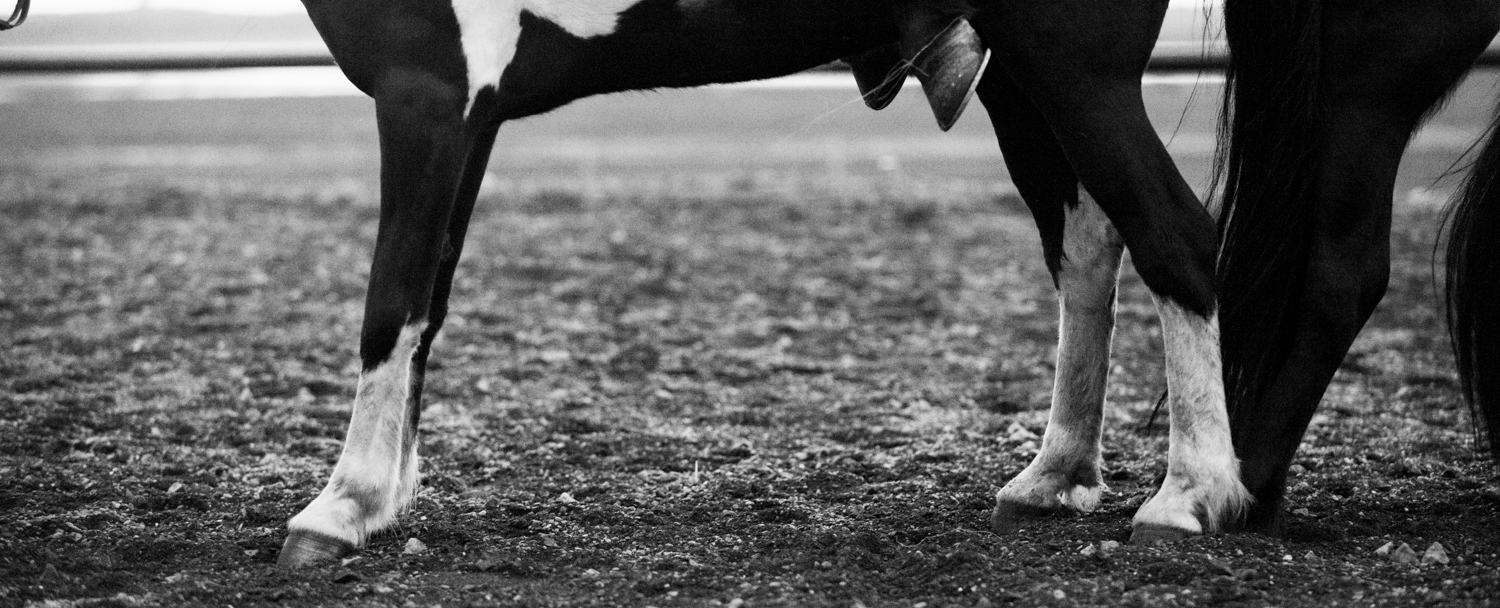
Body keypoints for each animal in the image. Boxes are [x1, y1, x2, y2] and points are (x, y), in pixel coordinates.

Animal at [277, 0, 1237, 568]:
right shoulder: (470, 114)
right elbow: (429, 306)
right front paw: (386, 496)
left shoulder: (426, 93)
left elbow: (392, 302)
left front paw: (343, 504)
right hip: (1023, 79)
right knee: (1086, 244)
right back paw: (1054, 477)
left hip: (1075, 66)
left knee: (1176, 238)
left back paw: (1190, 495)